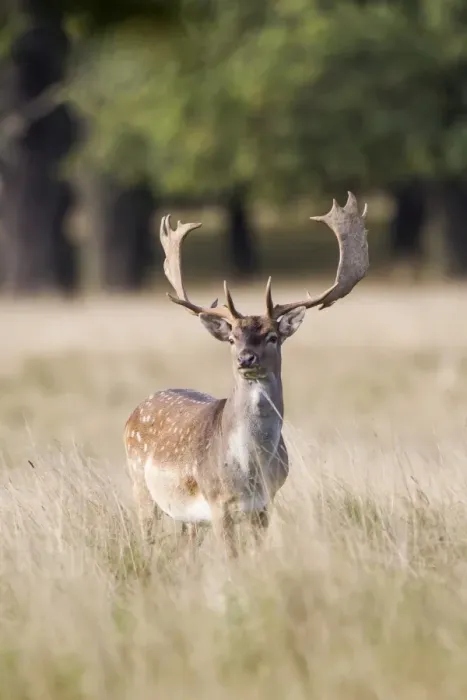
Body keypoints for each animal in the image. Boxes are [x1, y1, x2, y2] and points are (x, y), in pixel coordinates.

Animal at [124, 192, 369, 558]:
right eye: (232, 338)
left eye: (272, 336)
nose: (245, 358)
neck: (250, 471)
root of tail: (137, 410)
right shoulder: (216, 502)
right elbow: (231, 558)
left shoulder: (266, 504)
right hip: (140, 484)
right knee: (147, 536)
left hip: (185, 516)